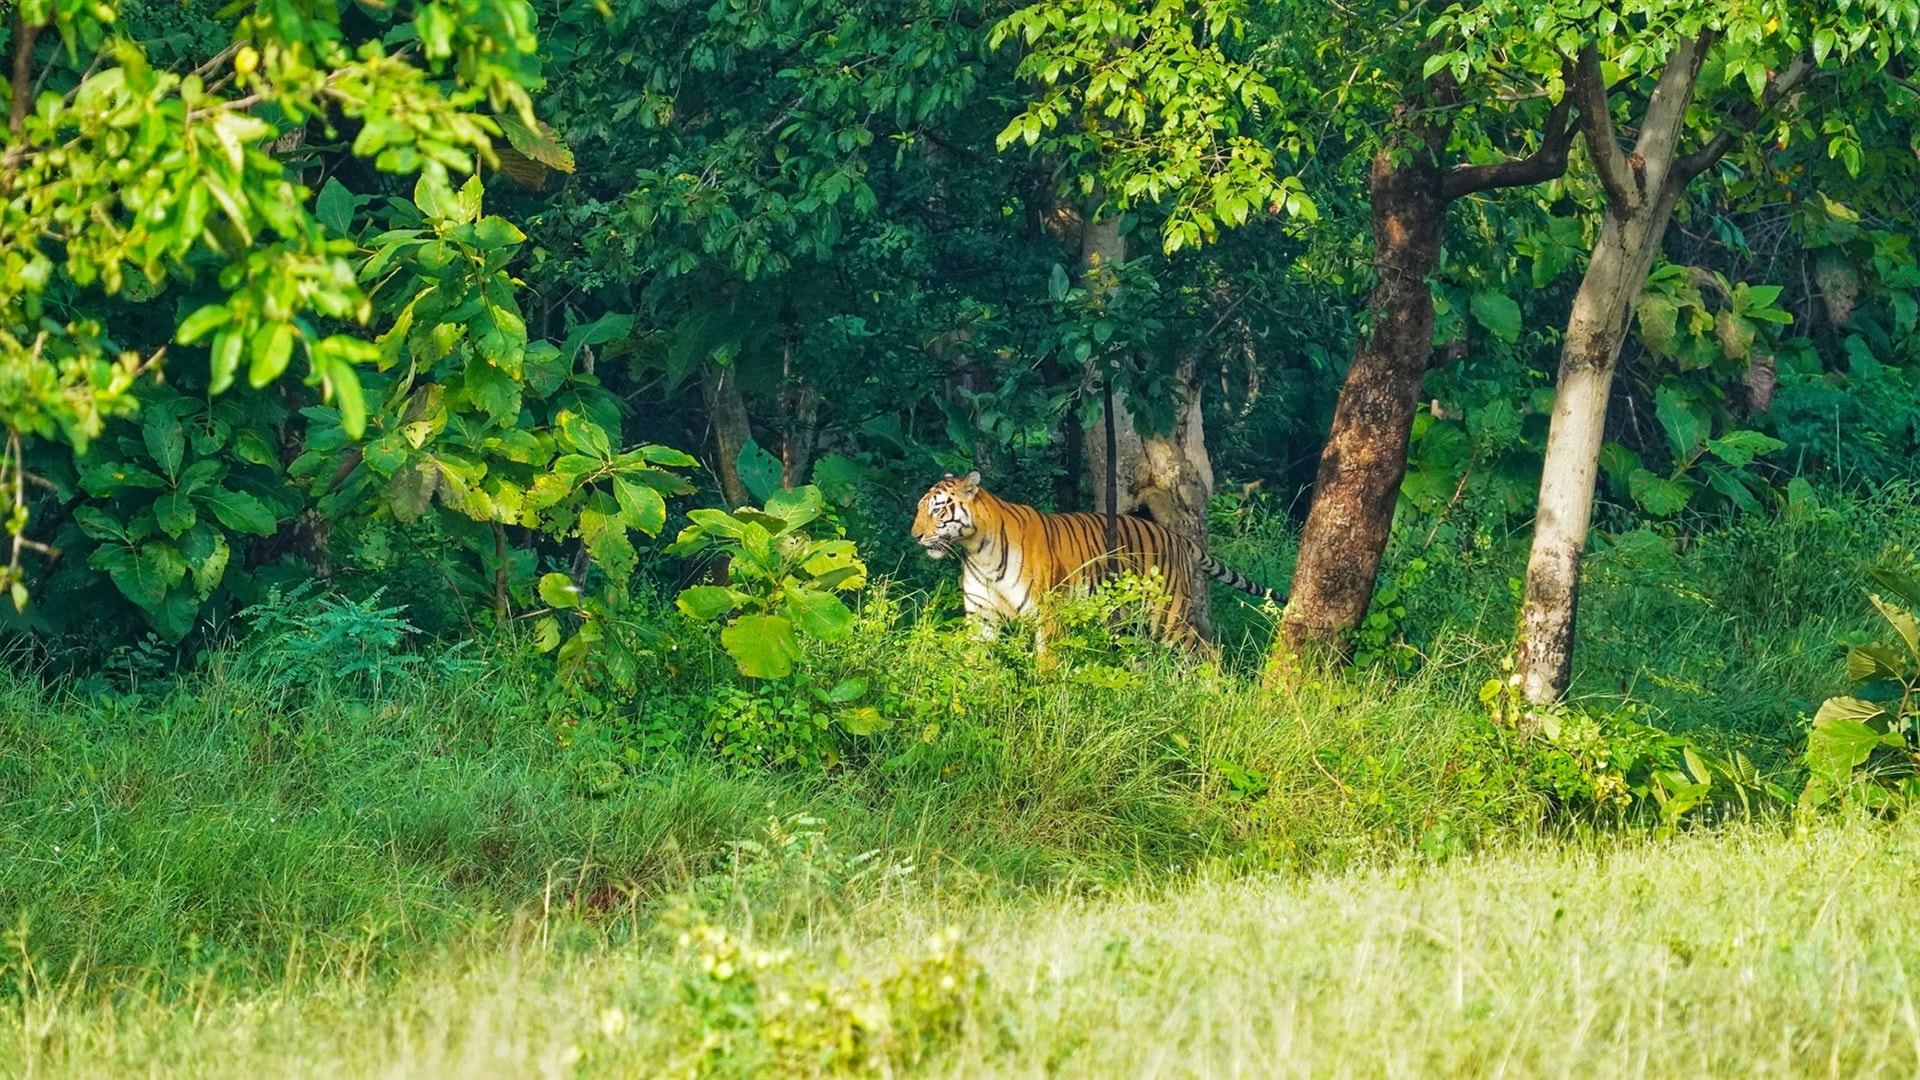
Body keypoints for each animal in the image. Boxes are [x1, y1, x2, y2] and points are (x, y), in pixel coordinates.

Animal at [906, 466, 1282, 641]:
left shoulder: (1047, 613)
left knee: (1206, 651)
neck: (976, 549)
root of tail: (1176, 537)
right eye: (920, 509)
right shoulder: (982, 616)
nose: (915, 536)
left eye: (938, 509)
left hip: (1167, 614)